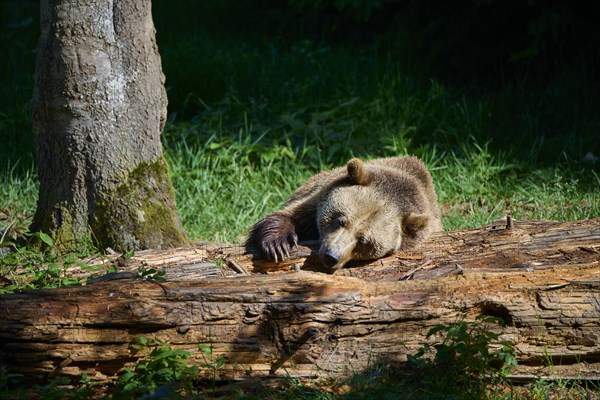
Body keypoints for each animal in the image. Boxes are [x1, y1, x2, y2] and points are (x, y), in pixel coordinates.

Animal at [246, 155, 442, 270]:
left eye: (363, 240)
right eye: (341, 220)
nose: (331, 256)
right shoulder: (314, 200)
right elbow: (288, 215)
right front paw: (278, 245)